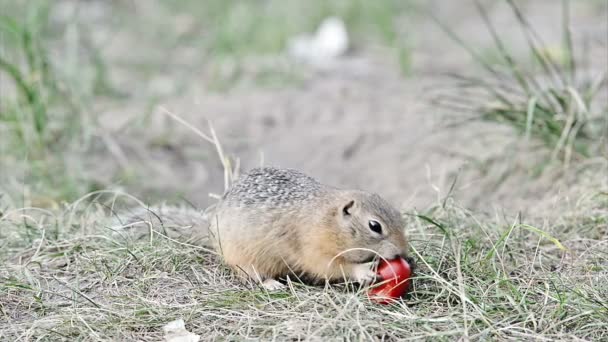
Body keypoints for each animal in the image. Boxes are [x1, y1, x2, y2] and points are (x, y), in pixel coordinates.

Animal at [116, 167, 410, 290]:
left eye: (399, 215)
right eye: (374, 226)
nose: (403, 252)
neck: (328, 219)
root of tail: (210, 231)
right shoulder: (314, 247)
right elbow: (332, 267)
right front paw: (363, 270)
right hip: (245, 259)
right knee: (250, 275)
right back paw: (271, 284)